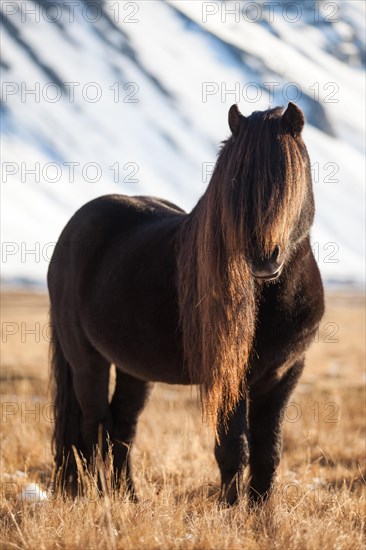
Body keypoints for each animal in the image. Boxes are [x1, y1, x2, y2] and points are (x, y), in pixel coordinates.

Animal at [48, 101, 324, 506]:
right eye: (235, 181)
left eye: (288, 174)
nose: (262, 258)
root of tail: (72, 229)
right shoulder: (229, 378)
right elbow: (232, 450)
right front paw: (231, 512)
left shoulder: (285, 374)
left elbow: (268, 452)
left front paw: (261, 512)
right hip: (87, 361)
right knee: (94, 426)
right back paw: (97, 498)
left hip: (133, 368)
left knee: (122, 427)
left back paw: (130, 499)